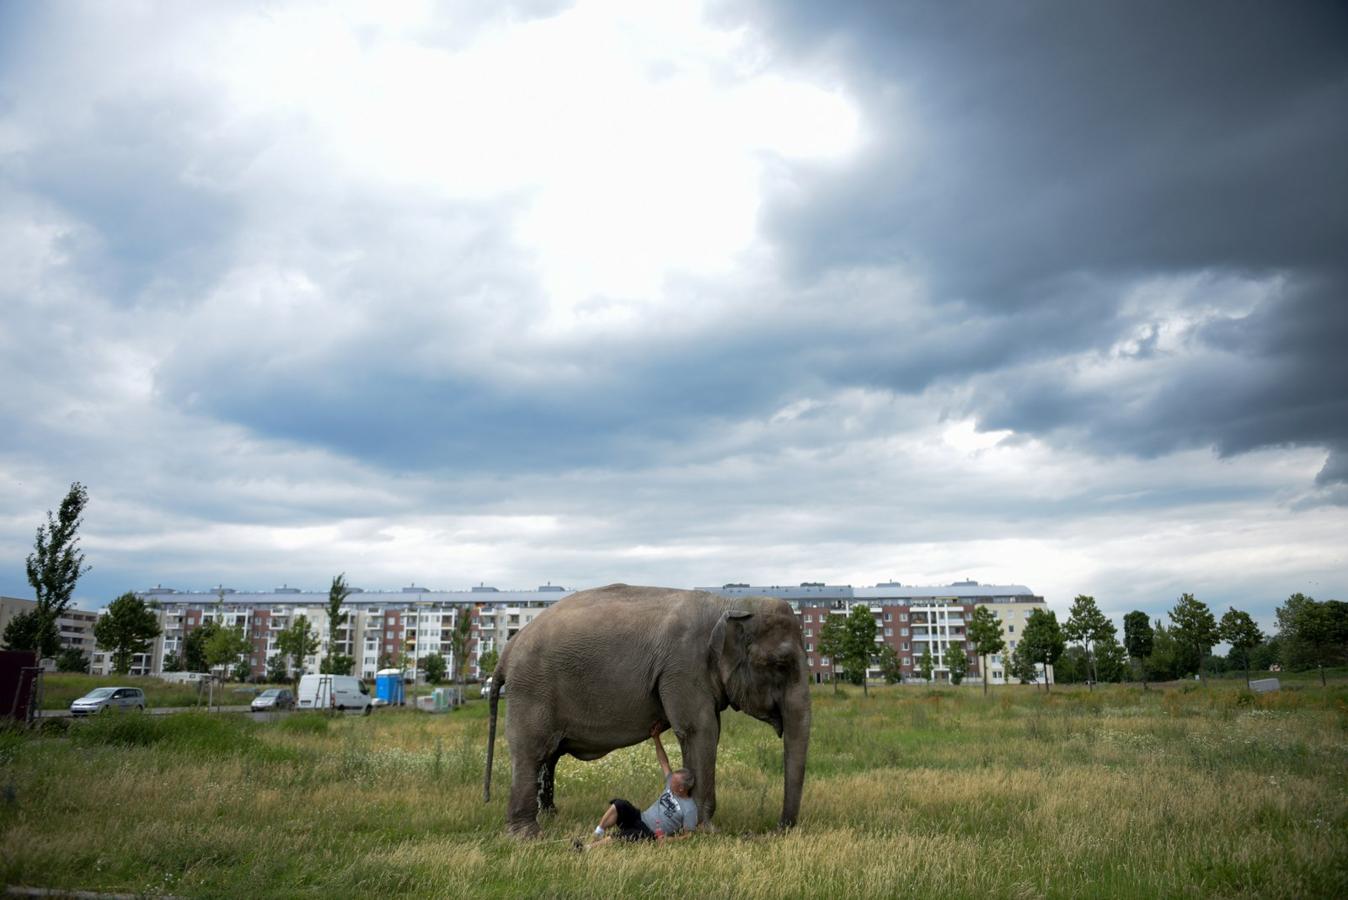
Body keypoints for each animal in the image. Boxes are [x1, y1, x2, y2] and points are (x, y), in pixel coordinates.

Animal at [482, 584, 811, 837]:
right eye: (780, 664)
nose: (776, 828)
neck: (726, 605)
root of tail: (507, 651)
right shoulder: (683, 668)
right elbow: (701, 730)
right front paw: (708, 831)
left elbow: (707, 731)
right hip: (532, 691)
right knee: (532, 752)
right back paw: (527, 836)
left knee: (549, 755)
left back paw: (551, 817)